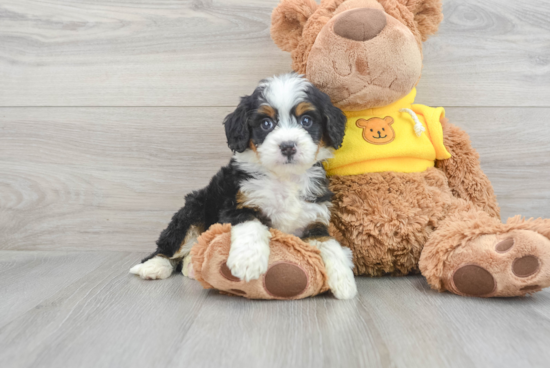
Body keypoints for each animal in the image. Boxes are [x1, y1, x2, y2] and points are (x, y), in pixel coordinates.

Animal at [132, 72, 360, 300]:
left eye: (306, 121)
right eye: (266, 124)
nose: (288, 146)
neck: (284, 178)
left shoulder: (314, 219)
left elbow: (329, 244)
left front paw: (344, 281)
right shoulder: (236, 203)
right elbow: (252, 223)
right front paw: (247, 262)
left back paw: (190, 266)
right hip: (193, 211)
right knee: (170, 246)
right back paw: (153, 267)